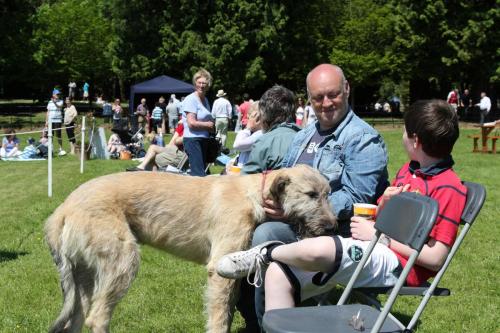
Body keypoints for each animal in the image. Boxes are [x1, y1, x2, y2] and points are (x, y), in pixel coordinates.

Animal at [46, 165, 336, 330]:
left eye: (328, 193)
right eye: (311, 195)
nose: (333, 226)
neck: (254, 194)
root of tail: (63, 209)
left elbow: (227, 308)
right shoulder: (219, 267)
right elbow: (219, 316)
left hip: (84, 274)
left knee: (76, 319)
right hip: (121, 261)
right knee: (97, 317)